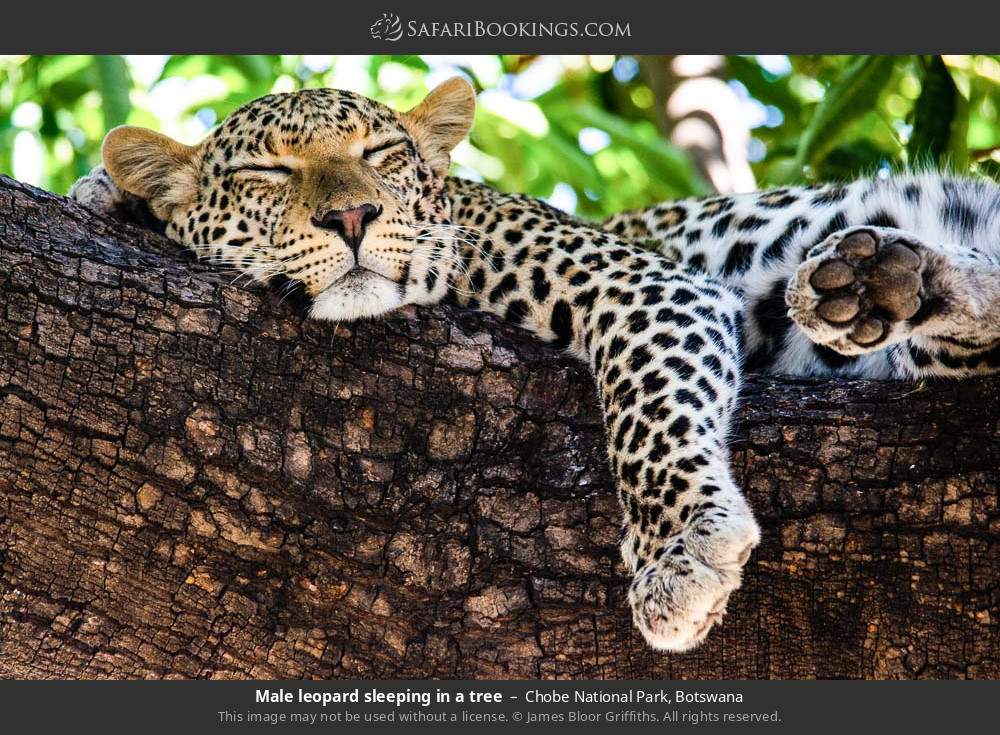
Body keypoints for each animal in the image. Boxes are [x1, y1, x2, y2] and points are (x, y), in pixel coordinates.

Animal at [68, 77, 1000, 652]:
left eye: (379, 155)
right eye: (269, 171)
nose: (354, 216)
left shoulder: (645, 281)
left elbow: (649, 411)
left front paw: (679, 554)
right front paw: (112, 194)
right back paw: (881, 281)